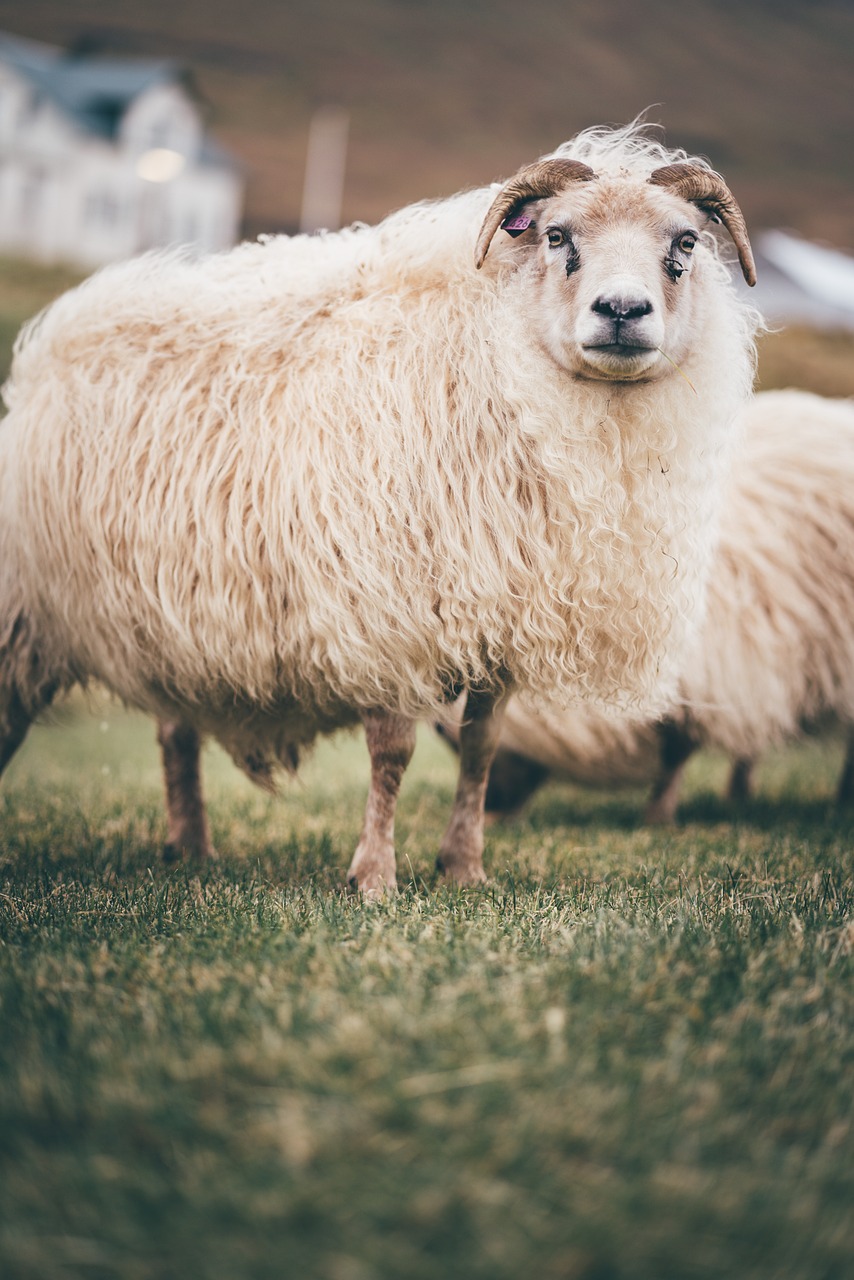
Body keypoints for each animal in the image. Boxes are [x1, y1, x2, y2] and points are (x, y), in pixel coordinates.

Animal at [3, 124, 757, 896]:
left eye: (686, 243)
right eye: (556, 235)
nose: (623, 312)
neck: (488, 359)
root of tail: (46, 349)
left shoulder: (500, 622)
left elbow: (482, 750)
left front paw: (464, 867)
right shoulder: (389, 615)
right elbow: (392, 754)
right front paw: (374, 877)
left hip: (167, 620)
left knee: (174, 728)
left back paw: (191, 848)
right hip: (28, 611)